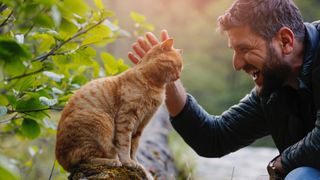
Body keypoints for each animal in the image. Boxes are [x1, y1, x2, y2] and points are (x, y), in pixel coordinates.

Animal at [55, 38, 182, 176]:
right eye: (174, 64)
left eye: (181, 67)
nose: (178, 76)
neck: (155, 85)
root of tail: (61, 160)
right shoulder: (126, 118)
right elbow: (125, 143)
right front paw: (127, 161)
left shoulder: (141, 124)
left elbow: (134, 146)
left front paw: (136, 164)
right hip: (102, 122)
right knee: (85, 160)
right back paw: (112, 161)